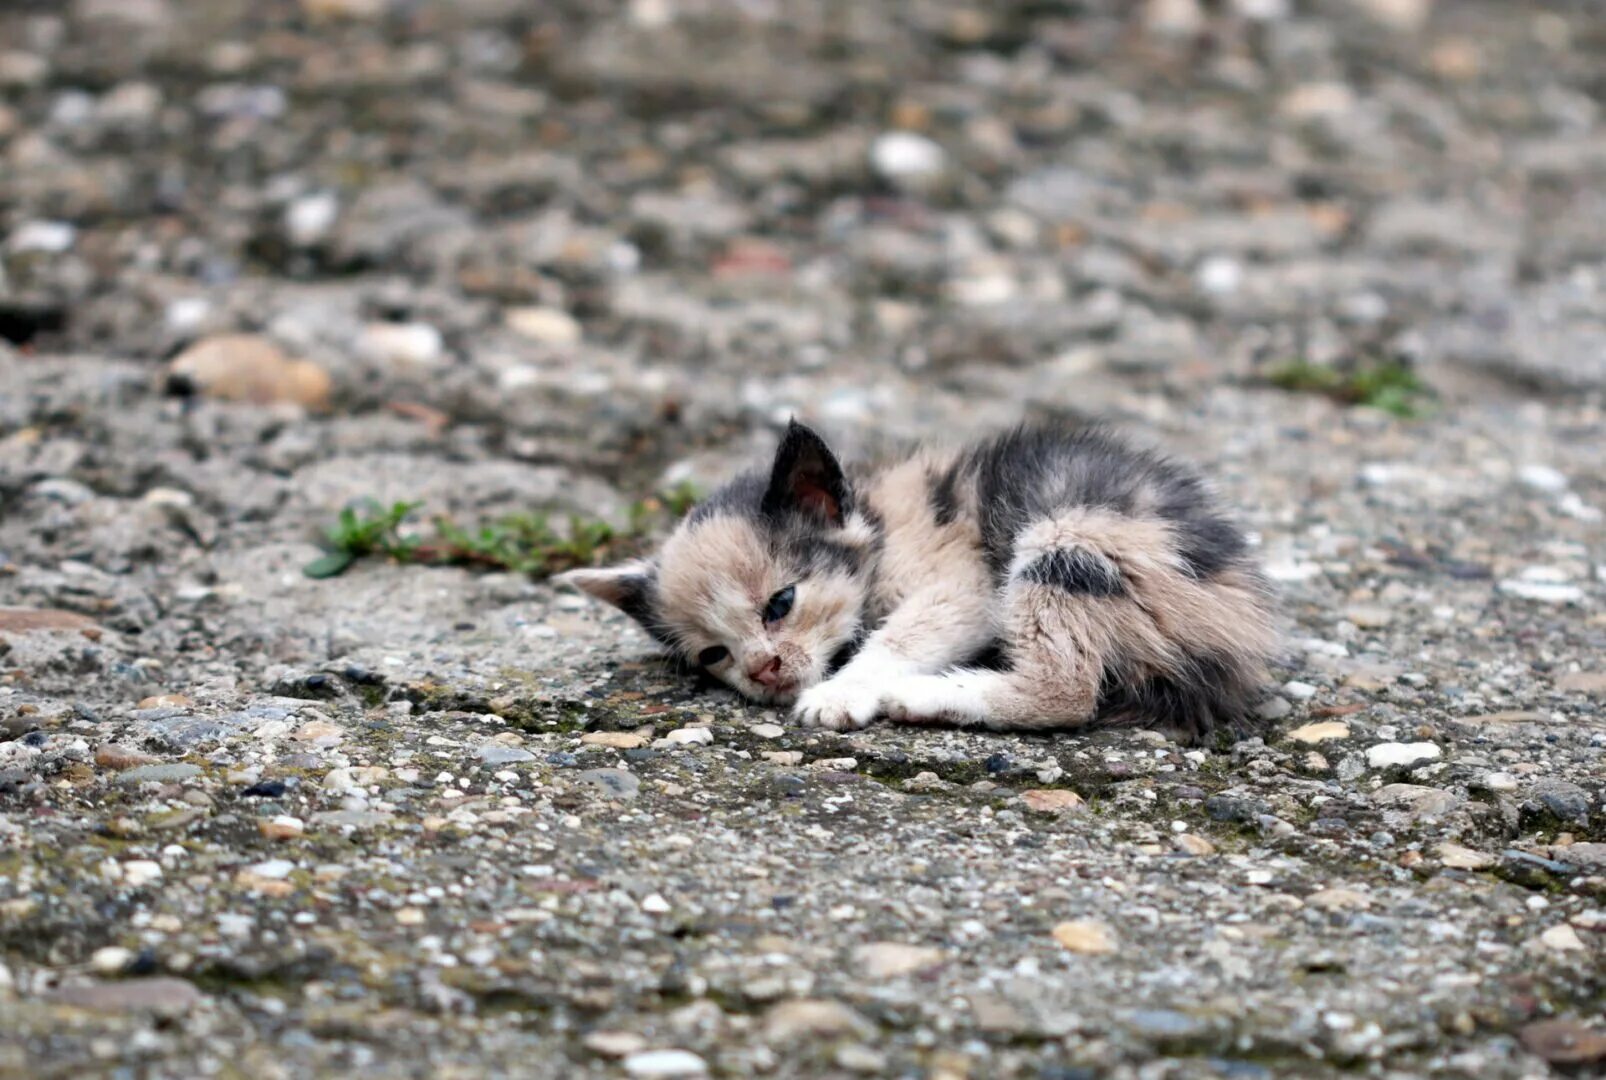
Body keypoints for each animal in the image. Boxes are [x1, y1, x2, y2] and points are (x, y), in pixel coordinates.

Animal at [562, 421, 1278, 742]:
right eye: (714, 655)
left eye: (780, 603)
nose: (764, 671)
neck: (877, 524)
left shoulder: (961, 584)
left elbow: (898, 637)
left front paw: (843, 691)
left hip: (1068, 537)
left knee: (1066, 692)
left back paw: (924, 694)